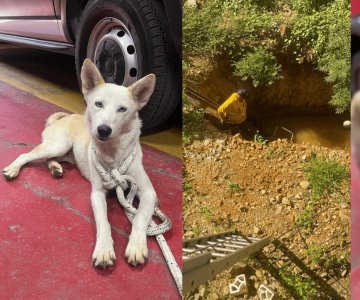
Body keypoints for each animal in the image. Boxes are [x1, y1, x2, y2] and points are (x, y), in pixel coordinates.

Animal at [2, 58, 158, 268]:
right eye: (98, 104)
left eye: (122, 109)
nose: (103, 130)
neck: (113, 155)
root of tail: (62, 119)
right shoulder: (97, 193)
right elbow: (103, 222)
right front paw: (104, 249)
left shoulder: (148, 193)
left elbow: (140, 217)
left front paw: (136, 246)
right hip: (58, 145)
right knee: (25, 155)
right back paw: (14, 168)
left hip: (65, 153)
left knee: (49, 160)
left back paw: (55, 168)